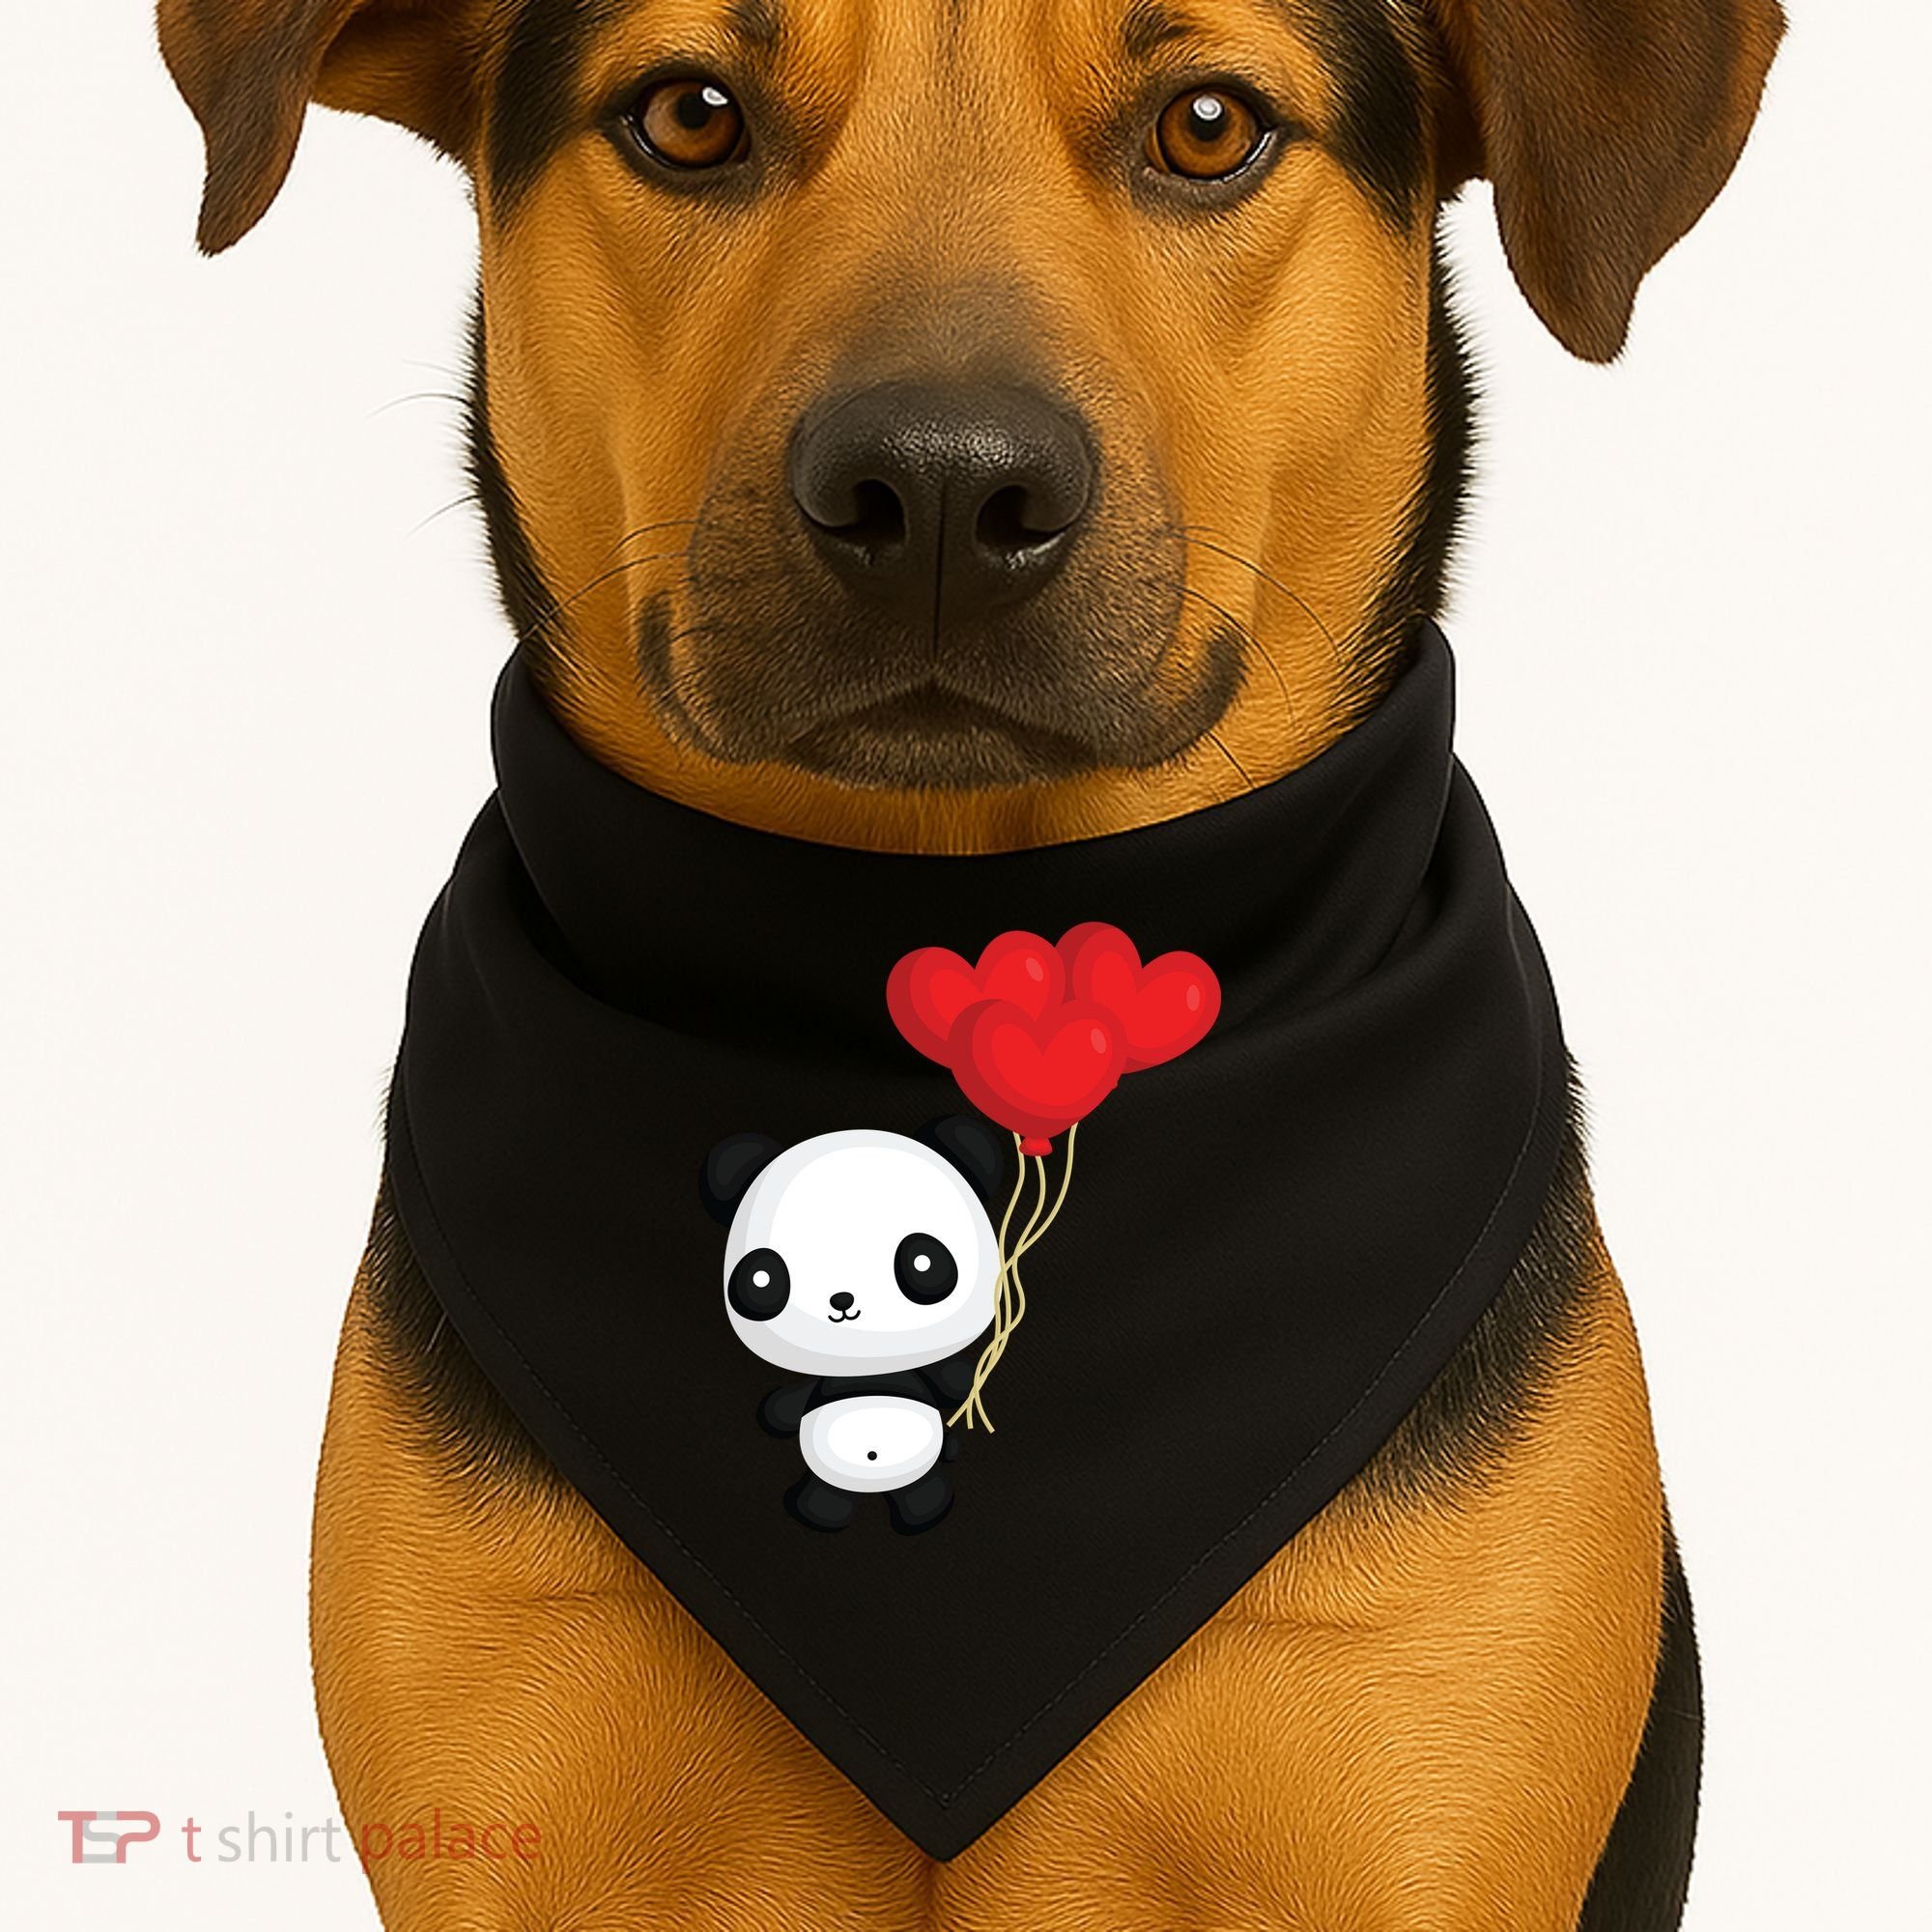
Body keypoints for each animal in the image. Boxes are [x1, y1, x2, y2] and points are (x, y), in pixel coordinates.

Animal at [701, 1117, 1005, 1534]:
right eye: (762, 1279)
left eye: (924, 1262)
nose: (842, 1300)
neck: (865, 1366)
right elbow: (789, 1405)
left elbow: (948, 1380)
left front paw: (963, 1378)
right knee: (830, 1492)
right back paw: (821, 1511)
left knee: (920, 1487)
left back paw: (925, 1509)